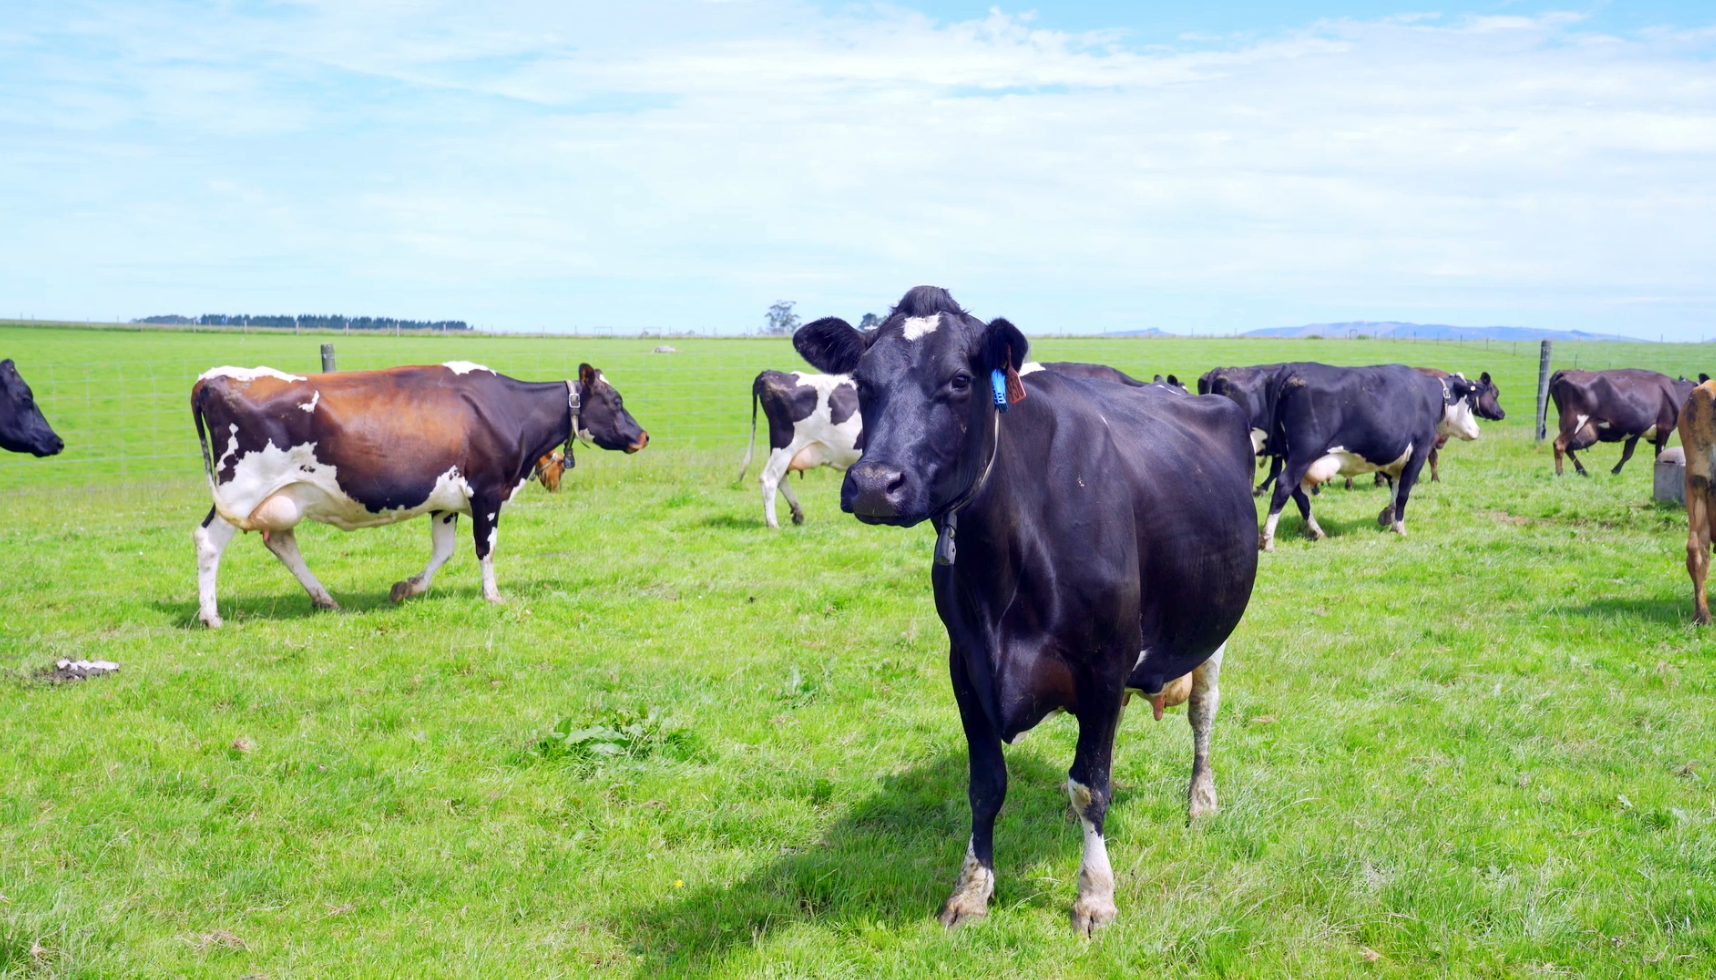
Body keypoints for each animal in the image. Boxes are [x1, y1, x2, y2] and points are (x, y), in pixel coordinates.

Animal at [190, 361, 647, 628]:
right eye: (616, 399)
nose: (643, 435)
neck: (511, 410)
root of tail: (212, 377)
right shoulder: (486, 491)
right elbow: (486, 548)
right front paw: (493, 596)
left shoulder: (446, 501)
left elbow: (443, 551)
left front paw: (406, 588)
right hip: (240, 489)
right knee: (208, 541)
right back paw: (211, 616)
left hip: (284, 496)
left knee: (281, 541)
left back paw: (325, 599)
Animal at [735, 370, 863, 528]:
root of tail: (771, 373)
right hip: (786, 444)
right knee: (769, 478)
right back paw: (773, 523)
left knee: (780, 478)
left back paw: (797, 513)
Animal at [793, 286, 1257, 934]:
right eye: (862, 381)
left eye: (960, 380)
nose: (873, 484)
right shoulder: (966, 665)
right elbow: (988, 784)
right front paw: (971, 889)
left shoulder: (1104, 663)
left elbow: (1091, 785)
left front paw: (1094, 894)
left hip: (1213, 628)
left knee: (1202, 713)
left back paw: (1201, 801)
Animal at [1259, 363, 1482, 552]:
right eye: (1470, 401)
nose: (1477, 431)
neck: (1425, 395)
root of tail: (1293, 369)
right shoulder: (1419, 451)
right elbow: (1404, 492)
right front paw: (1399, 526)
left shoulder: (1391, 455)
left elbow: (1394, 488)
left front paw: (1388, 514)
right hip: (1304, 453)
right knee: (1284, 485)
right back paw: (1267, 540)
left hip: (1291, 454)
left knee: (1299, 494)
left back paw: (1317, 532)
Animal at [1551, 369, 1697, 477]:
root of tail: (1566, 371)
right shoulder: (1664, 428)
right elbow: (1659, 454)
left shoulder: (1635, 431)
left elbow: (1627, 454)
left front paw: (1615, 471)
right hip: (1575, 421)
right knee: (1560, 444)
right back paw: (1560, 473)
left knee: (1568, 447)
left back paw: (1582, 471)